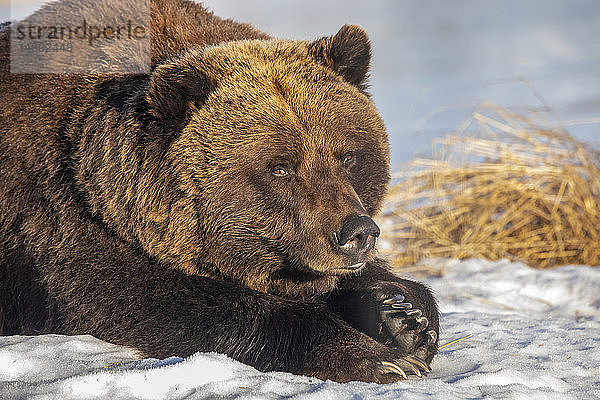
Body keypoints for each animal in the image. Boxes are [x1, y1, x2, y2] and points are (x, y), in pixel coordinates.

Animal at [0, 0, 440, 382]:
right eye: (280, 167)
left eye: (347, 156)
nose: (357, 233)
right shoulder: (65, 222)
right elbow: (149, 298)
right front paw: (378, 357)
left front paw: (403, 314)